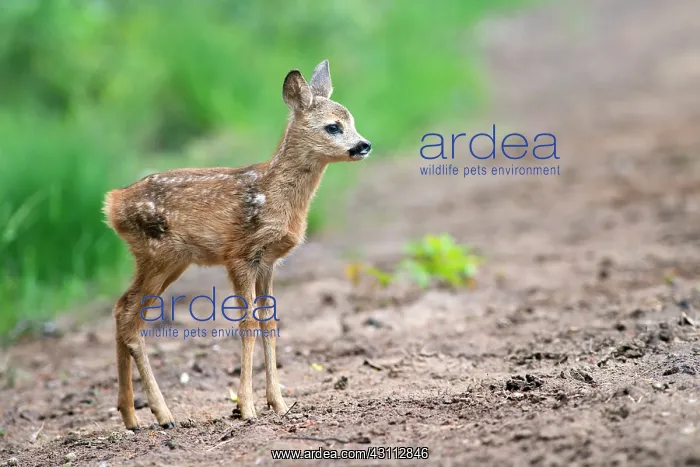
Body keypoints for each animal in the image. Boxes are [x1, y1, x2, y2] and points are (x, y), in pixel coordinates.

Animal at [103, 59, 371, 430]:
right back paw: (163, 414)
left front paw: (279, 404)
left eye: (352, 121)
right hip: (157, 254)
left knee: (121, 309)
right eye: (333, 126)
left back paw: (131, 416)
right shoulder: (240, 256)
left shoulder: (268, 261)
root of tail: (112, 203)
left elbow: (269, 323)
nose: (364, 145)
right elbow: (247, 325)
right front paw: (247, 408)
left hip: (171, 261)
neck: (275, 196)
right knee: (130, 317)